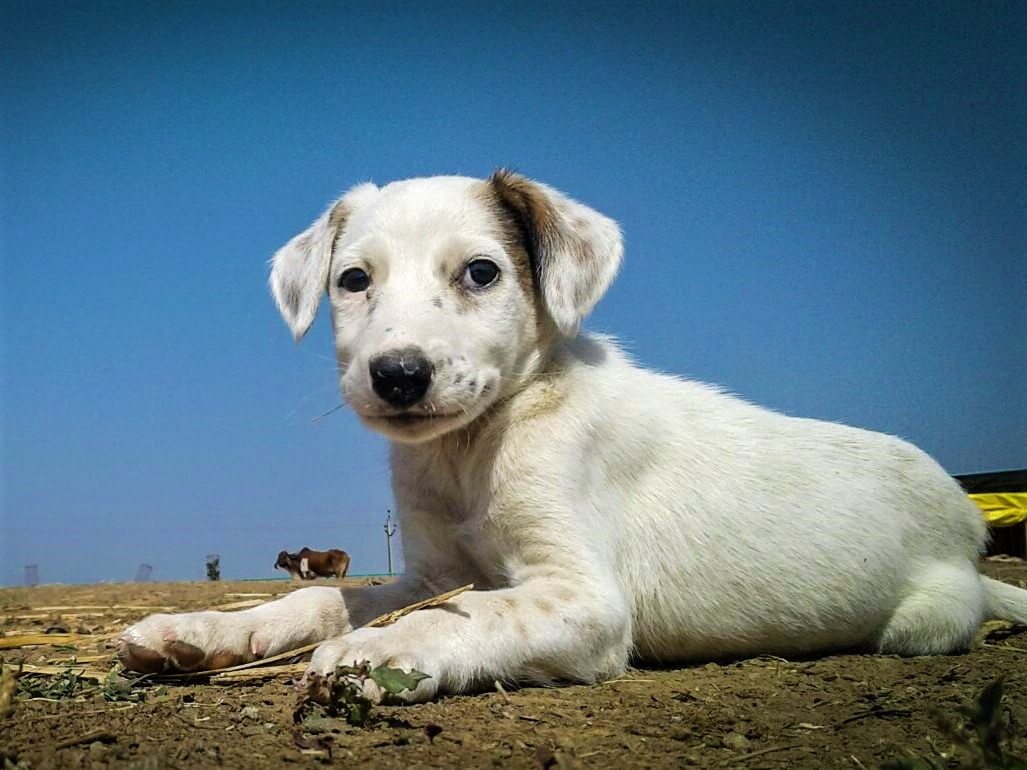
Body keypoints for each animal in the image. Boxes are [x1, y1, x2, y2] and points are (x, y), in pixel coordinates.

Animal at [122, 171, 1027, 702]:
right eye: (352, 280)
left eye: (480, 273)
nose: (398, 375)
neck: (469, 451)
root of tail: (970, 525)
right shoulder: (428, 572)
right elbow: (323, 597)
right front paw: (205, 629)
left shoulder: (584, 597)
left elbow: (475, 613)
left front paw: (376, 654)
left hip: (922, 618)